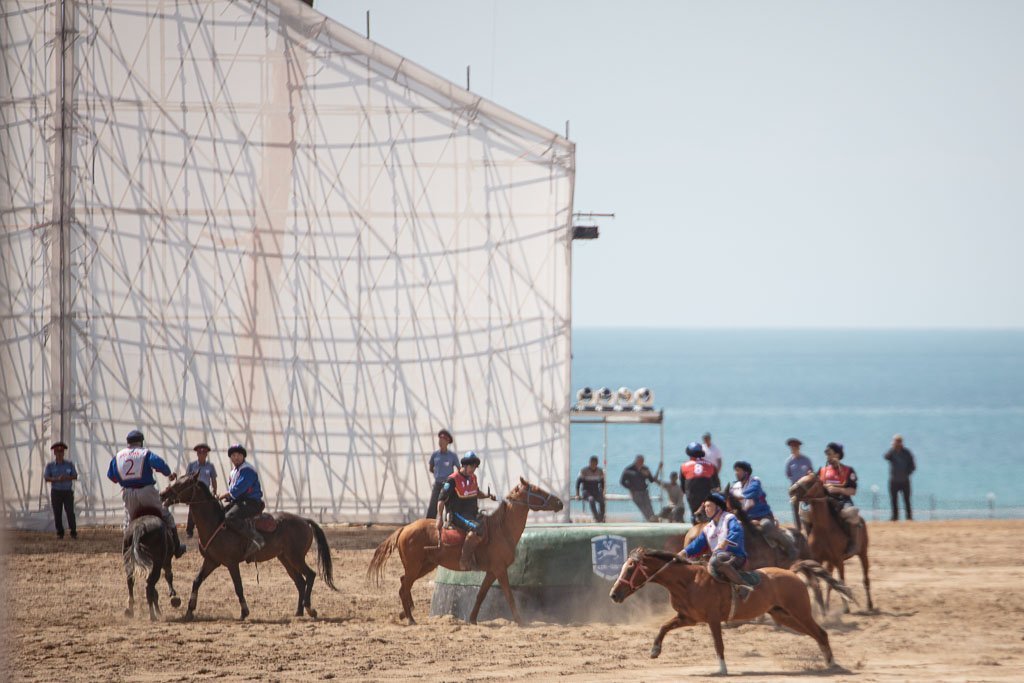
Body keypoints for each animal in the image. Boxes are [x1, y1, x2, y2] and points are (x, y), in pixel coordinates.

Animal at [159, 473, 335, 622]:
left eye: (184, 483)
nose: (162, 494)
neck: (215, 524)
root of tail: (304, 520)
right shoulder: (211, 561)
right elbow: (196, 581)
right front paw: (189, 611)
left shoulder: (231, 563)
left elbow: (238, 587)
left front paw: (244, 612)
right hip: (285, 558)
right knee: (300, 582)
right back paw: (299, 612)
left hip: (296, 557)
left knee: (310, 575)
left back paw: (310, 609)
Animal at [366, 479, 565, 626]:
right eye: (538, 490)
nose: (560, 502)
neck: (501, 529)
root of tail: (404, 528)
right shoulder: (500, 570)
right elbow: (508, 595)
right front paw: (520, 621)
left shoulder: (492, 571)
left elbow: (481, 595)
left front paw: (472, 619)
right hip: (414, 566)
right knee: (404, 587)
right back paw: (410, 618)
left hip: (425, 566)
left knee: (403, 584)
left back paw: (406, 613)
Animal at [606, 548, 847, 675]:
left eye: (630, 569)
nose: (614, 595)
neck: (688, 581)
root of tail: (792, 573)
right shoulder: (688, 618)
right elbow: (664, 627)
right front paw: (655, 650)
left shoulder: (712, 619)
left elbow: (717, 644)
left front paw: (721, 669)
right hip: (784, 615)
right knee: (816, 634)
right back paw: (828, 662)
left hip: (799, 612)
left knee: (821, 633)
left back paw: (832, 664)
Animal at [786, 471, 876, 614]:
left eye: (810, 481)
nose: (791, 490)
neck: (824, 528)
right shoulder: (818, 559)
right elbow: (818, 581)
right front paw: (817, 607)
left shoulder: (839, 560)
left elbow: (841, 580)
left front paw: (846, 607)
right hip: (830, 562)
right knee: (829, 582)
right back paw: (827, 605)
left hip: (863, 554)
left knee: (865, 578)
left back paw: (870, 604)